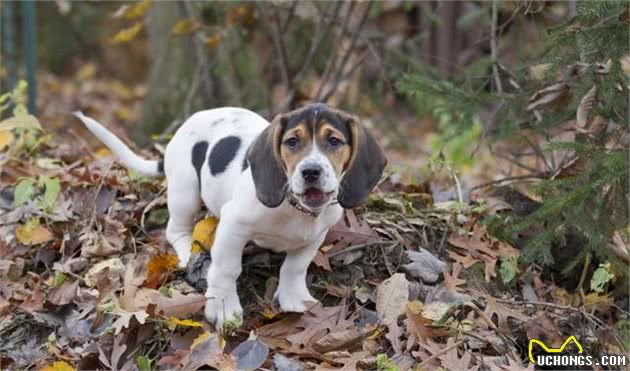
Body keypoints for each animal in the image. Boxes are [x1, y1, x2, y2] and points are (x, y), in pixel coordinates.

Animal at [76, 103, 388, 326]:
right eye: (292, 142)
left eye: (334, 141)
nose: (310, 171)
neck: (292, 206)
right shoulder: (233, 225)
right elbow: (227, 269)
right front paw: (224, 307)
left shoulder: (315, 236)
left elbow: (295, 267)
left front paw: (293, 297)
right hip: (185, 191)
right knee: (175, 229)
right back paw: (188, 253)